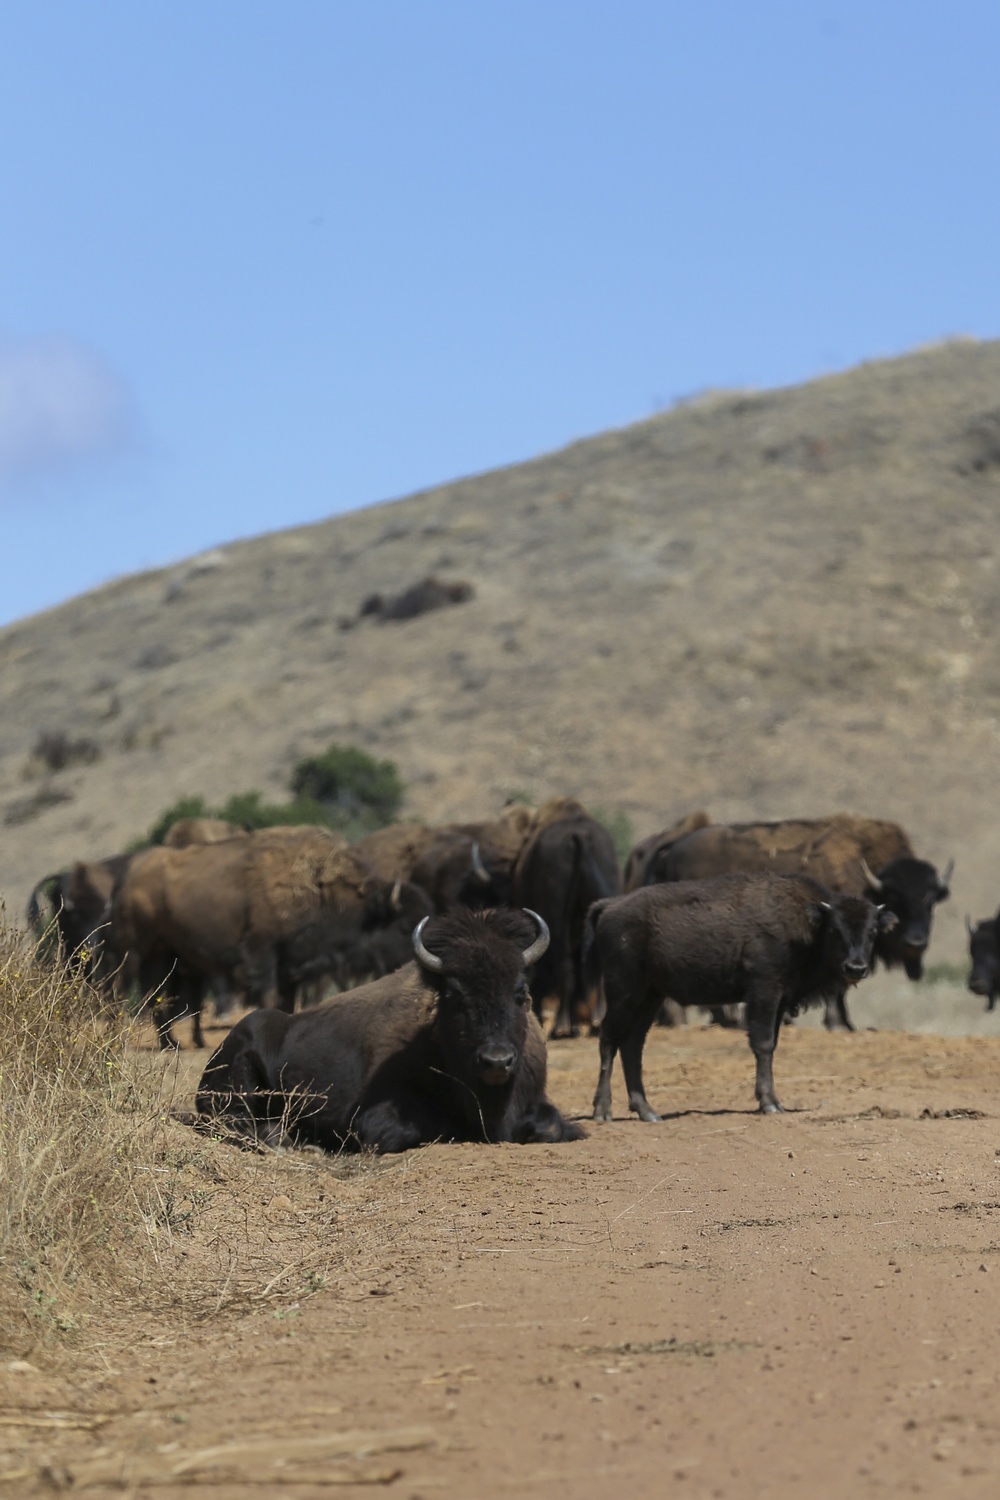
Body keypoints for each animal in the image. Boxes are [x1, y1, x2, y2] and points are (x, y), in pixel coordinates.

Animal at [193, 900, 587, 1158]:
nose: (496, 1061)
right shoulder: (374, 1118)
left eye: (521, 992)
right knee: (235, 1123)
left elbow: (553, 1125)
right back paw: (290, 1139)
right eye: (453, 994)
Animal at [581, 870, 893, 1128]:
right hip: (624, 992)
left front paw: (772, 1100)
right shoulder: (764, 992)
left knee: (632, 1044)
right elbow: (763, 1043)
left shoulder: (780, 1000)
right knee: (608, 1040)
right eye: (835, 929)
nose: (855, 967)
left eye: (872, 930)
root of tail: (609, 906)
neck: (806, 923)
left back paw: (647, 1111)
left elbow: (771, 1044)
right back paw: (603, 1111)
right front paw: (770, 1103)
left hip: (650, 996)